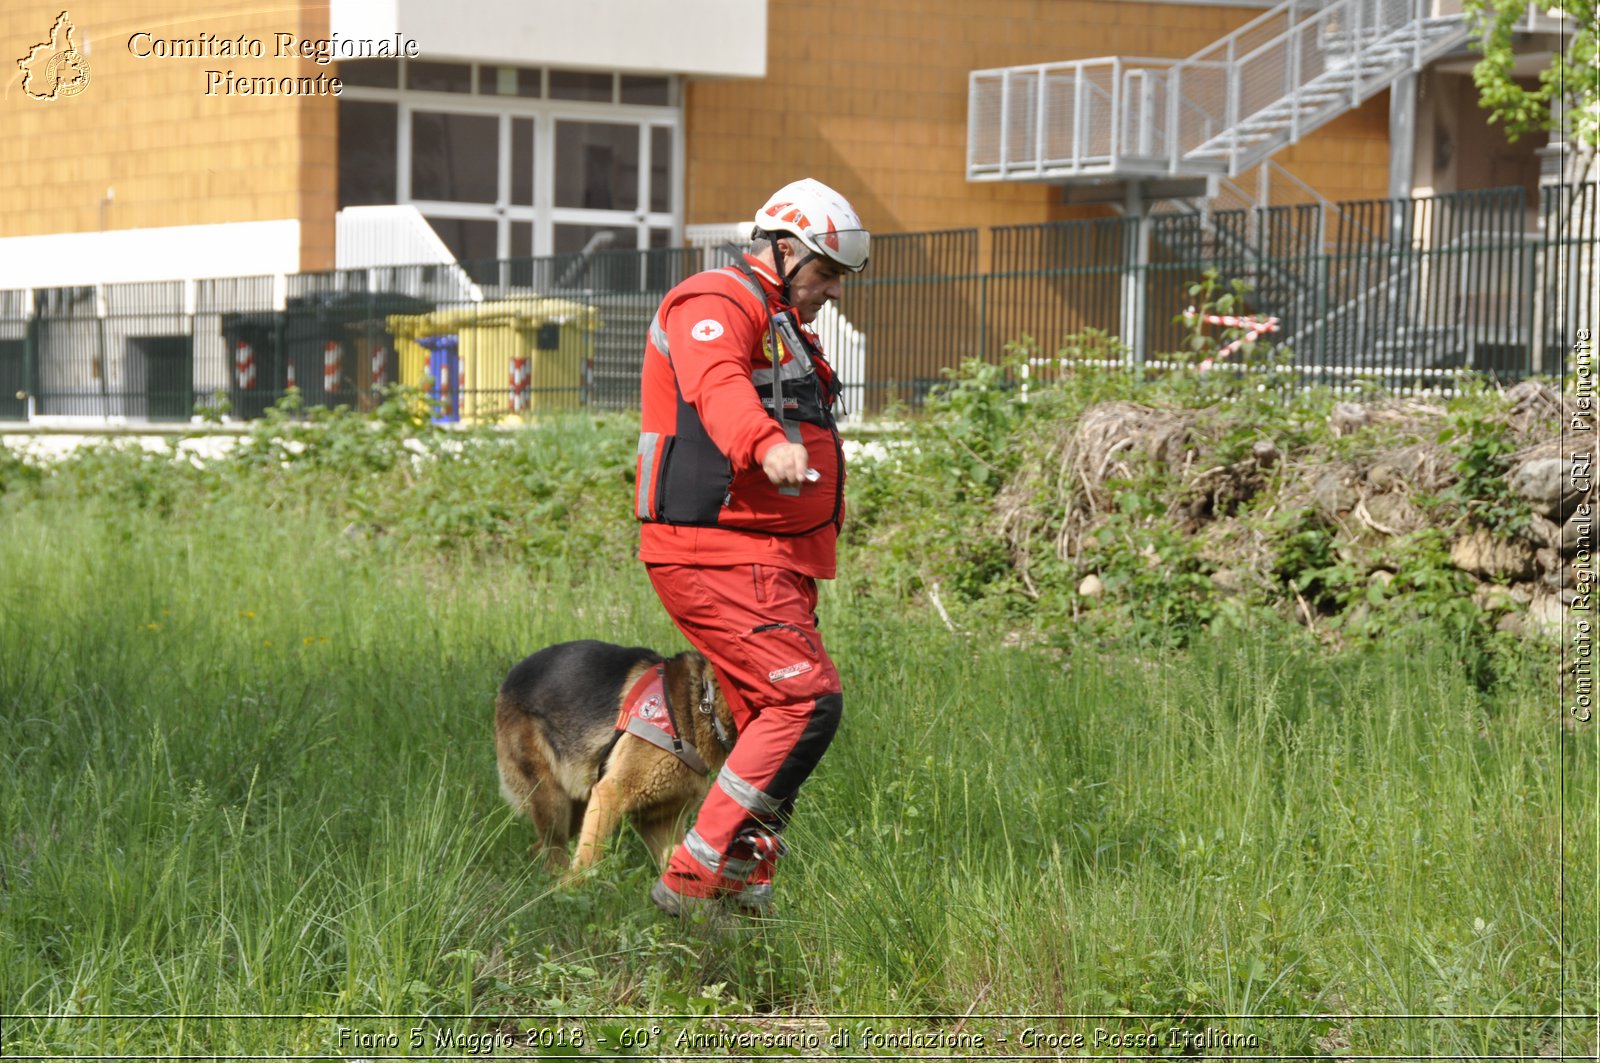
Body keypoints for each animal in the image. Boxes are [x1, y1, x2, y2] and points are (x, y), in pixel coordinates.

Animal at [492, 640, 736, 877]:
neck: (702, 703)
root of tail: (509, 678)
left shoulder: (660, 821)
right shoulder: (610, 794)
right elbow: (587, 861)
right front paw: (577, 885)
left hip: (576, 806)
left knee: (540, 847)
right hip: (554, 804)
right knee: (555, 850)